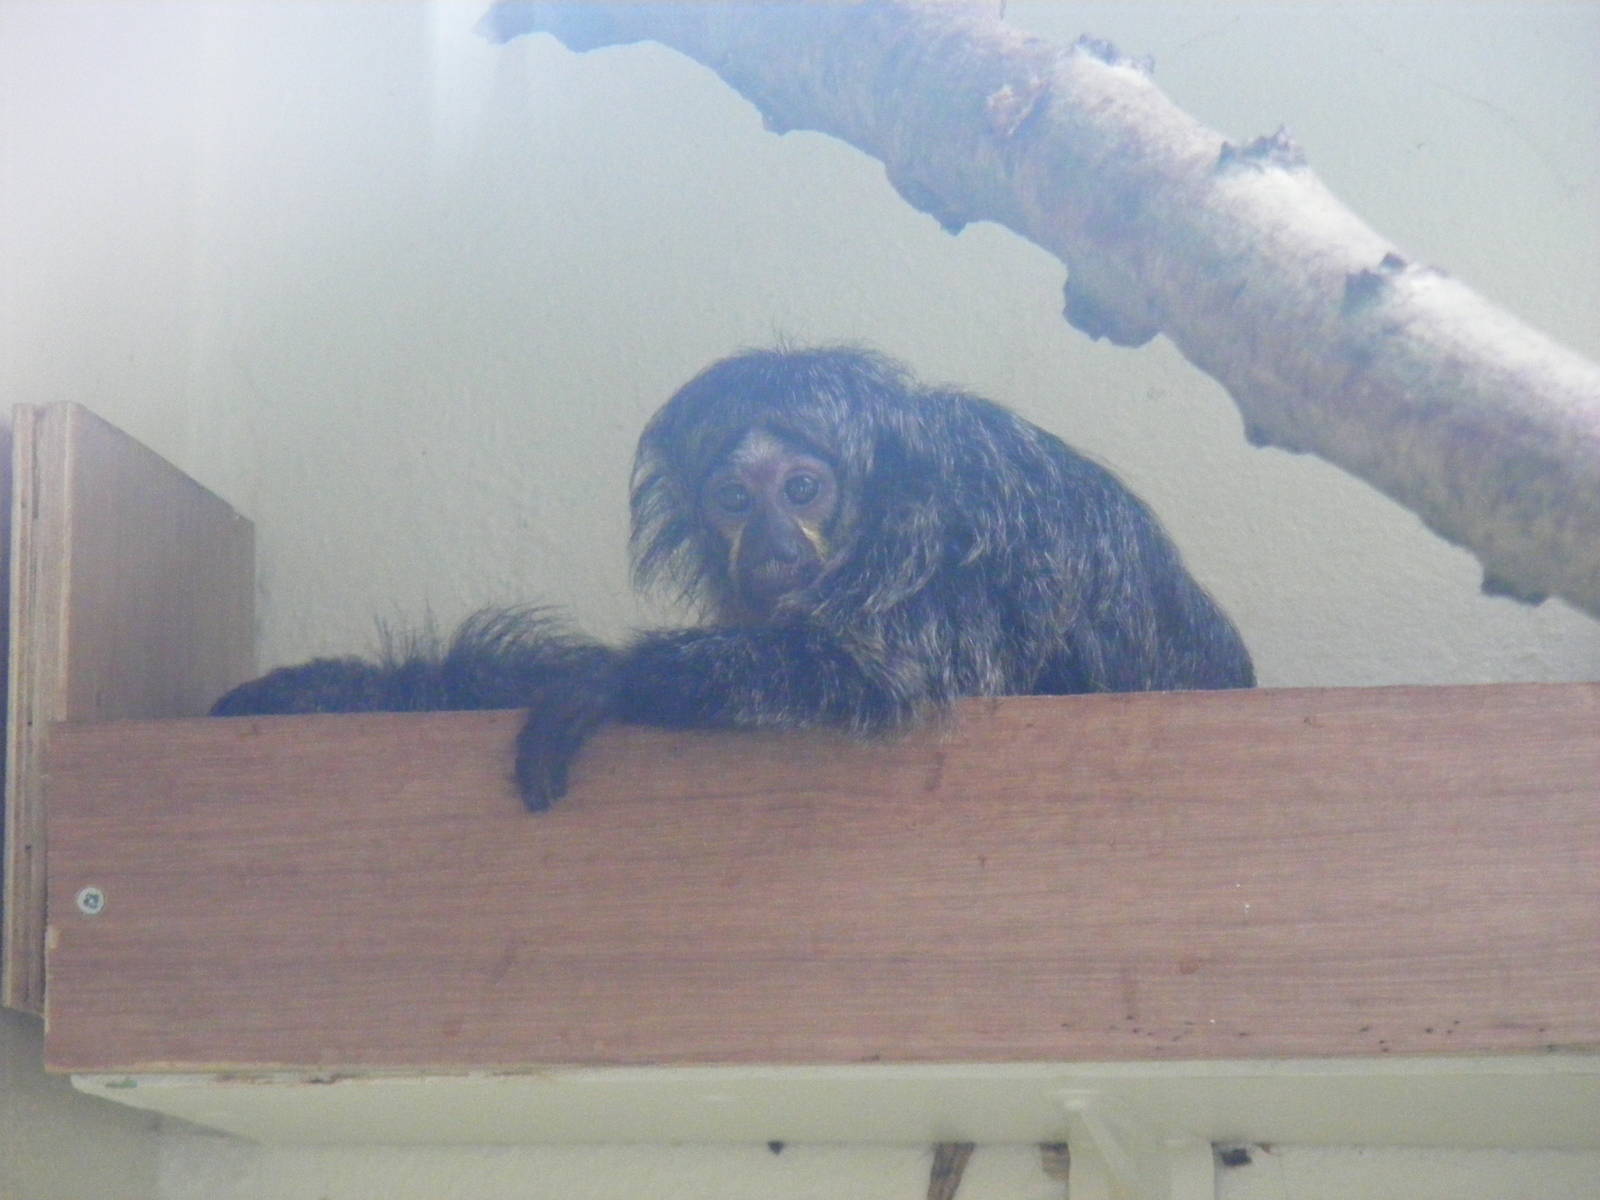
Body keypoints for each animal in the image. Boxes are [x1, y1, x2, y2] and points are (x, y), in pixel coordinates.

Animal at [213, 345, 1254, 810]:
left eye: (803, 487)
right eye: (731, 499)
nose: (779, 544)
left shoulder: (956, 518)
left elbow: (882, 672)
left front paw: (609, 681)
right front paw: (314, 692)